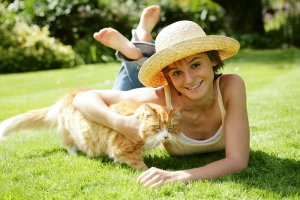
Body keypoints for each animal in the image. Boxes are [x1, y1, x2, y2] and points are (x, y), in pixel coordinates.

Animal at [0, 90, 180, 170]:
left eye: (171, 127)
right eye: (156, 127)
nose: (165, 136)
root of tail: (68, 94)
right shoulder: (122, 148)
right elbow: (140, 165)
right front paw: (148, 171)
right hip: (71, 132)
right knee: (68, 142)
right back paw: (73, 152)